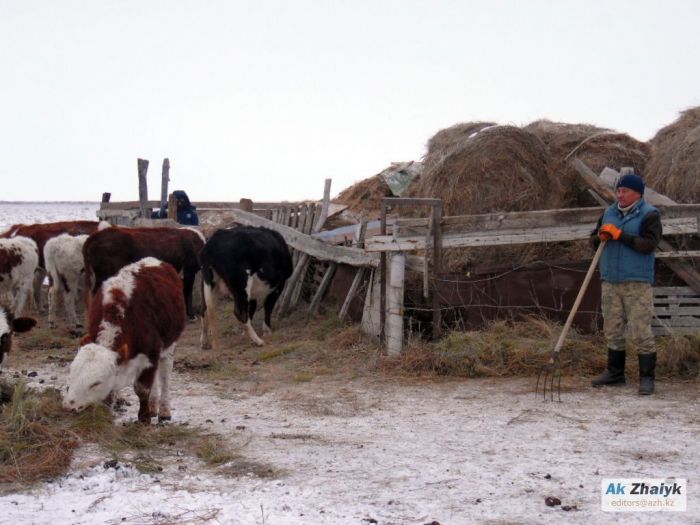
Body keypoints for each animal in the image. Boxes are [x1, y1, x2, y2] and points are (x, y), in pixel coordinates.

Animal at [62, 256, 186, 424]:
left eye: (96, 383)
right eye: (72, 373)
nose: (69, 406)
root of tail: (155, 261)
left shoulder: (151, 354)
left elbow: (142, 389)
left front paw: (144, 418)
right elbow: (110, 394)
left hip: (169, 346)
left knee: (164, 375)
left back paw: (164, 411)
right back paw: (153, 407)